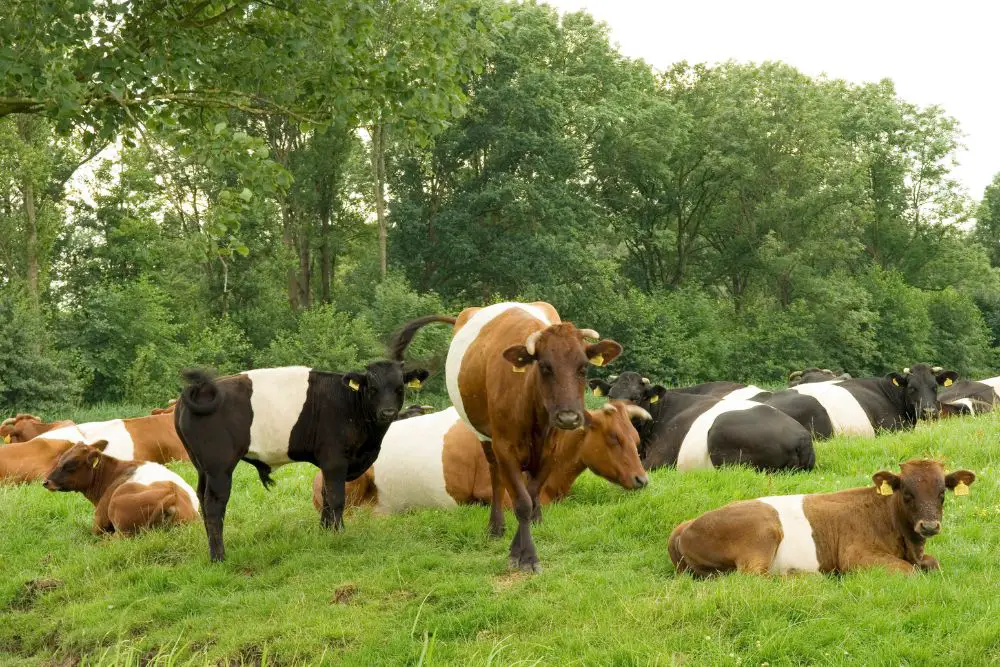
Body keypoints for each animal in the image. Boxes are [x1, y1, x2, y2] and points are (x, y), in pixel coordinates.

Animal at [668, 462, 972, 576]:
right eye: (907, 493)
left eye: (942, 493)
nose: (929, 525)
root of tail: (685, 525)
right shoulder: (855, 556)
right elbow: (909, 572)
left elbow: (933, 563)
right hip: (763, 533)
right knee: (752, 578)